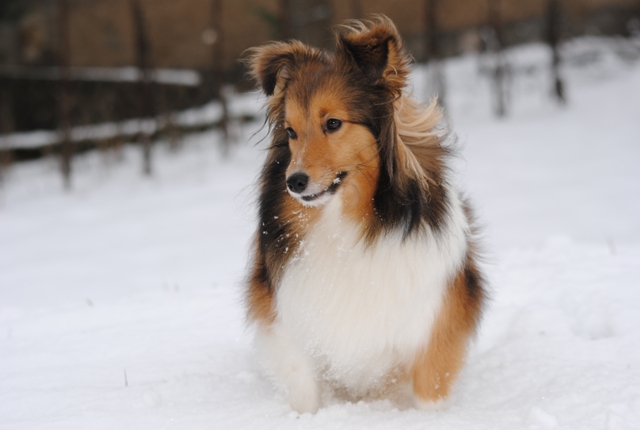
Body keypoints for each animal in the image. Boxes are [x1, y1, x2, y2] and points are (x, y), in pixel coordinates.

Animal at [245, 17, 484, 414]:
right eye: (291, 132)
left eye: (333, 123)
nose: (294, 182)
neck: (346, 225)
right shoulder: (287, 320)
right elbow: (304, 387)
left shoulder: (435, 323)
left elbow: (429, 389)